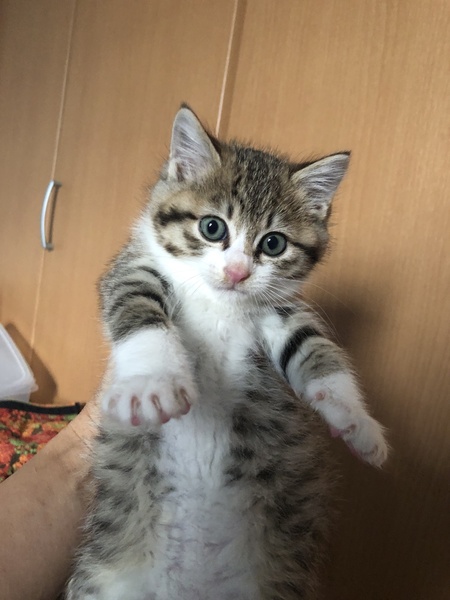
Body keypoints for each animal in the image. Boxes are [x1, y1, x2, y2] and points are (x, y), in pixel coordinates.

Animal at [65, 105, 388, 600]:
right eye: (212, 227)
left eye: (273, 243)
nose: (237, 273)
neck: (218, 302)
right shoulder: (132, 268)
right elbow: (138, 309)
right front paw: (152, 383)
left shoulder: (282, 310)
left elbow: (315, 347)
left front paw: (354, 417)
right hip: (104, 579)